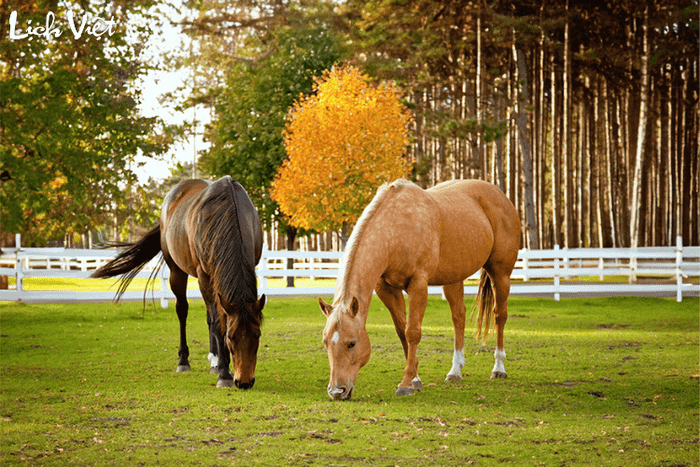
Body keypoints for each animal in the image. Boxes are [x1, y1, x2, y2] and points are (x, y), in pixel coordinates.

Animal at [91, 177, 266, 390]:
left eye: (257, 335)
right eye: (231, 337)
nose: (244, 382)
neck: (227, 211)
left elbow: (216, 319)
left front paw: (221, 366)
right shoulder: (204, 275)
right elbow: (219, 323)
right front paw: (224, 374)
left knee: (209, 315)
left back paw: (214, 361)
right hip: (178, 271)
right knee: (183, 310)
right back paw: (185, 361)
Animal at [320, 181, 524, 400]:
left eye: (352, 343)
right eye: (325, 342)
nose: (337, 391)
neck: (395, 229)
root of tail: (501, 196)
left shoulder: (418, 284)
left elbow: (412, 332)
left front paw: (406, 384)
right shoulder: (386, 288)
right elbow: (402, 331)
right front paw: (416, 380)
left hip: (500, 274)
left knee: (499, 316)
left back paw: (499, 368)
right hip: (453, 278)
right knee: (458, 317)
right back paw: (455, 371)